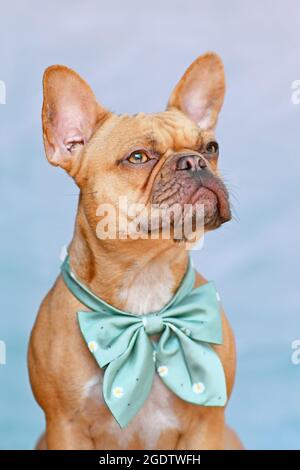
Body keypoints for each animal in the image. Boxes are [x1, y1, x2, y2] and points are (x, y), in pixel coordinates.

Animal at [28, 53, 244, 450]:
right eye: (138, 157)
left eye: (211, 148)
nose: (194, 162)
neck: (147, 274)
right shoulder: (64, 426)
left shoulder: (207, 424)